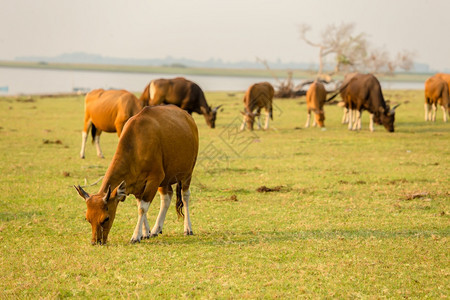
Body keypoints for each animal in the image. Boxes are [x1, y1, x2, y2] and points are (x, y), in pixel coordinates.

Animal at [74, 104, 198, 245]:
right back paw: (156, 229)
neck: (137, 143)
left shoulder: (154, 179)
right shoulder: (137, 184)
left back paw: (188, 228)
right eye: (88, 219)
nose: (96, 242)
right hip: (165, 179)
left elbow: (142, 208)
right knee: (166, 197)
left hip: (187, 173)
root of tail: (188, 117)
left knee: (185, 196)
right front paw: (145, 233)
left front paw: (135, 236)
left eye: (106, 218)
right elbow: (140, 206)